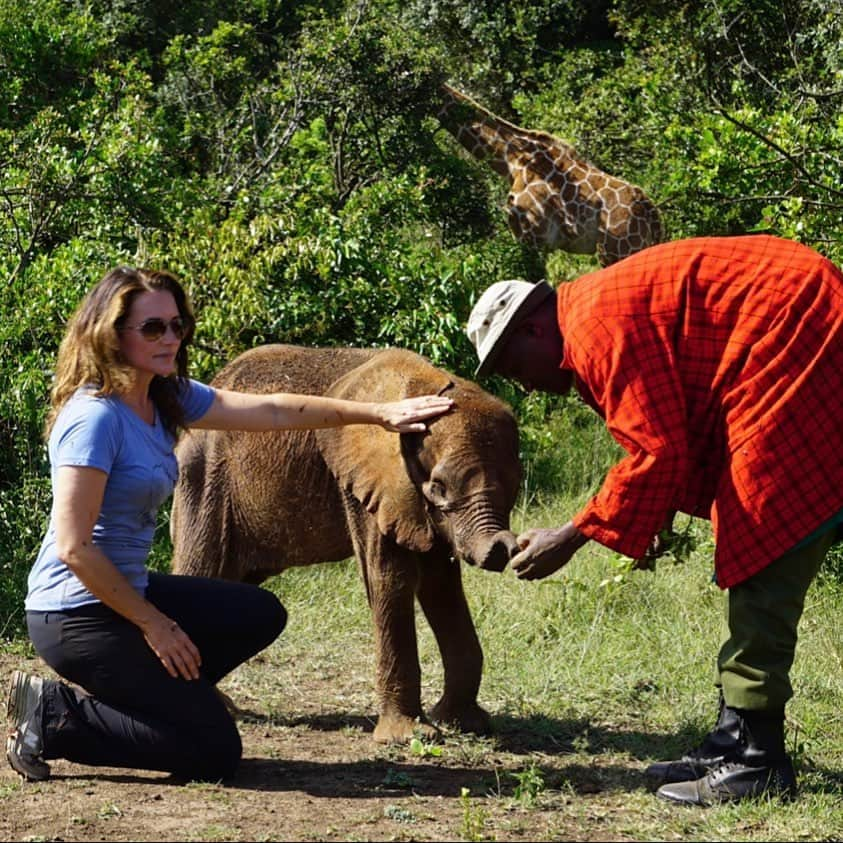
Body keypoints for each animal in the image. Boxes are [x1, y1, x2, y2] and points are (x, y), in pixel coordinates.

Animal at [173, 342, 520, 740]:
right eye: (438, 487)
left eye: (514, 485)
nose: (507, 547)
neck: (429, 382)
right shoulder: (369, 482)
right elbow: (393, 579)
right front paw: (409, 737)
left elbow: (440, 585)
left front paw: (462, 724)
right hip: (204, 479)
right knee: (202, 573)